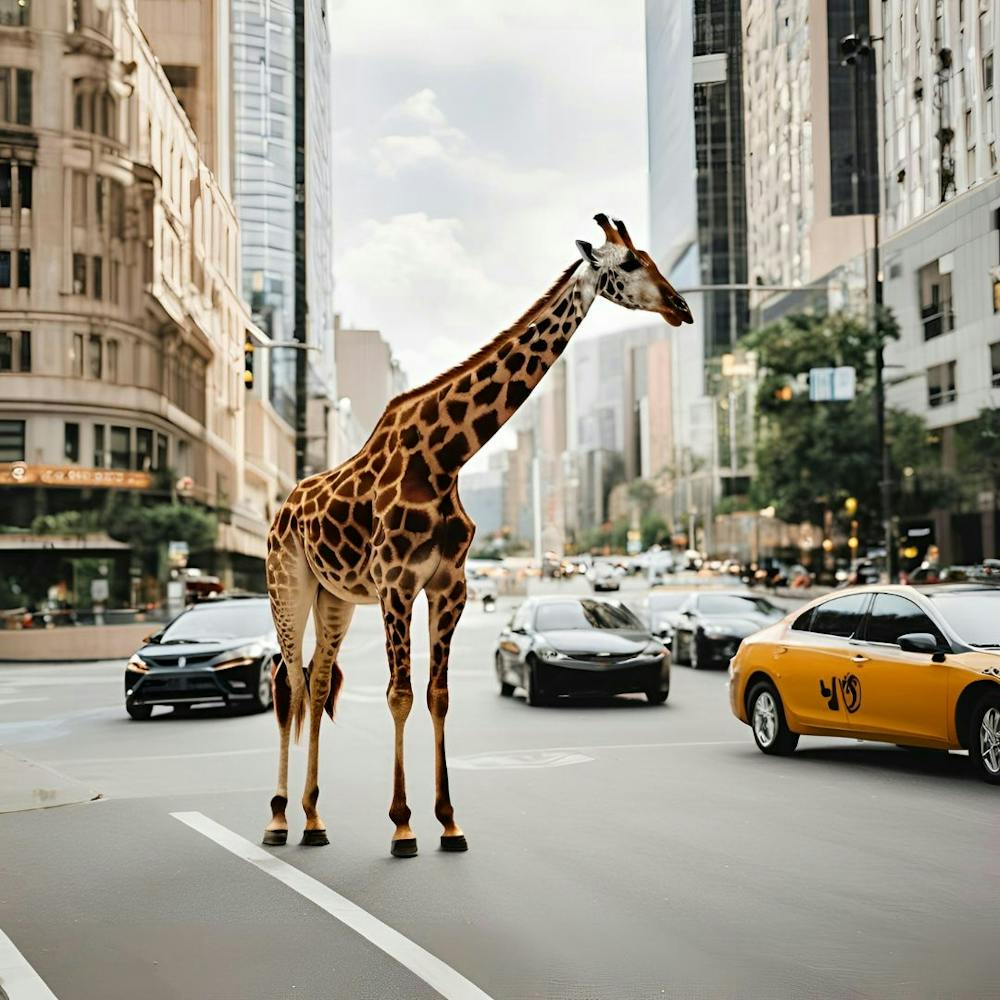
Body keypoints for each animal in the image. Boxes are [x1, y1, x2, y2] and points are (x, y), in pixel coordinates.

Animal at [263, 214, 693, 856]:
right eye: (631, 263)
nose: (681, 307)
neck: (445, 457)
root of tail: (282, 509)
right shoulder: (396, 585)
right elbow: (399, 693)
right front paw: (403, 825)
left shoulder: (449, 585)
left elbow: (437, 695)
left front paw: (448, 822)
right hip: (286, 585)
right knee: (288, 681)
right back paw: (278, 818)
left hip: (333, 595)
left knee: (316, 681)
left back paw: (315, 820)